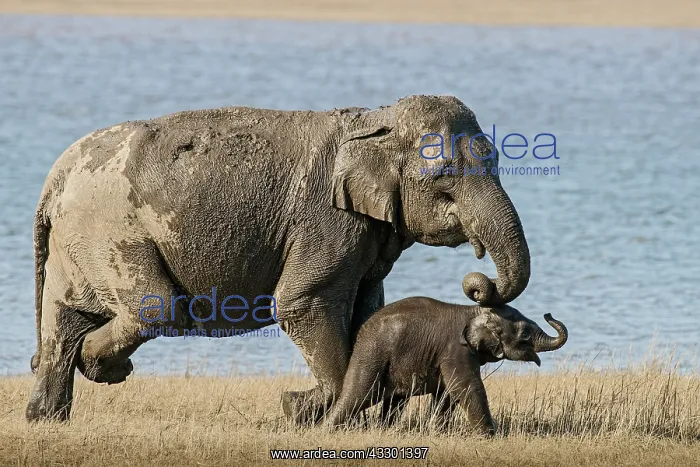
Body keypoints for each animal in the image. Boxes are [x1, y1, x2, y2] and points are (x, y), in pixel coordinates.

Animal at [26, 94, 531, 423]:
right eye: (445, 179)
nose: (478, 282)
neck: (376, 118)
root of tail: (55, 177)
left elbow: (368, 310)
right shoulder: (326, 220)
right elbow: (302, 302)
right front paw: (301, 409)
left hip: (78, 240)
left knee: (64, 317)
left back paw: (46, 416)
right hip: (109, 231)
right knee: (154, 306)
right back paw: (99, 368)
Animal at [323, 273, 568, 435]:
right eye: (525, 333)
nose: (548, 313)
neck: (473, 311)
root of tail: (361, 332)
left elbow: (447, 393)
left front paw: (438, 431)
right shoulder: (455, 350)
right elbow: (467, 387)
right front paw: (490, 435)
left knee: (394, 401)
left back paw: (384, 430)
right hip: (371, 354)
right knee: (359, 395)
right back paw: (328, 430)